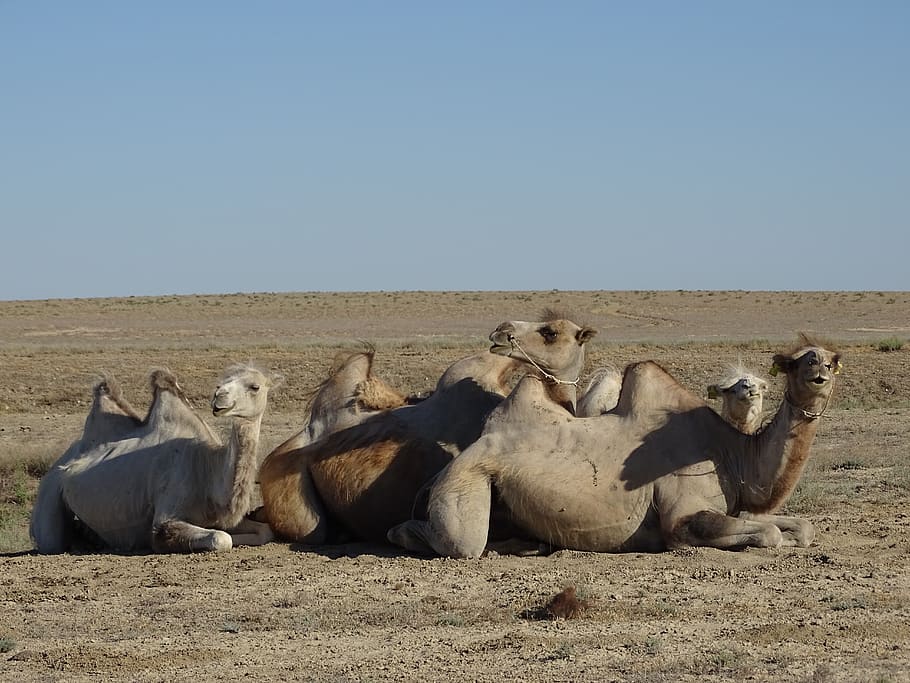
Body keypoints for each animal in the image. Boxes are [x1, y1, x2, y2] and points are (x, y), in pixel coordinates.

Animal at [30, 363, 282, 554]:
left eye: (255, 386)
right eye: (220, 384)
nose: (219, 398)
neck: (207, 468)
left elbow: (265, 531)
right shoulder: (165, 517)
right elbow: (220, 538)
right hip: (50, 495)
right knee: (52, 541)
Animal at [387, 334, 840, 557]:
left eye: (832, 360)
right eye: (800, 361)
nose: (820, 371)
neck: (730, 452)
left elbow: (802, 528)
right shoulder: (682, 517)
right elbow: (768, 534)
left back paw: (528, 544)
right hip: (464, 480)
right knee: (457, 542)